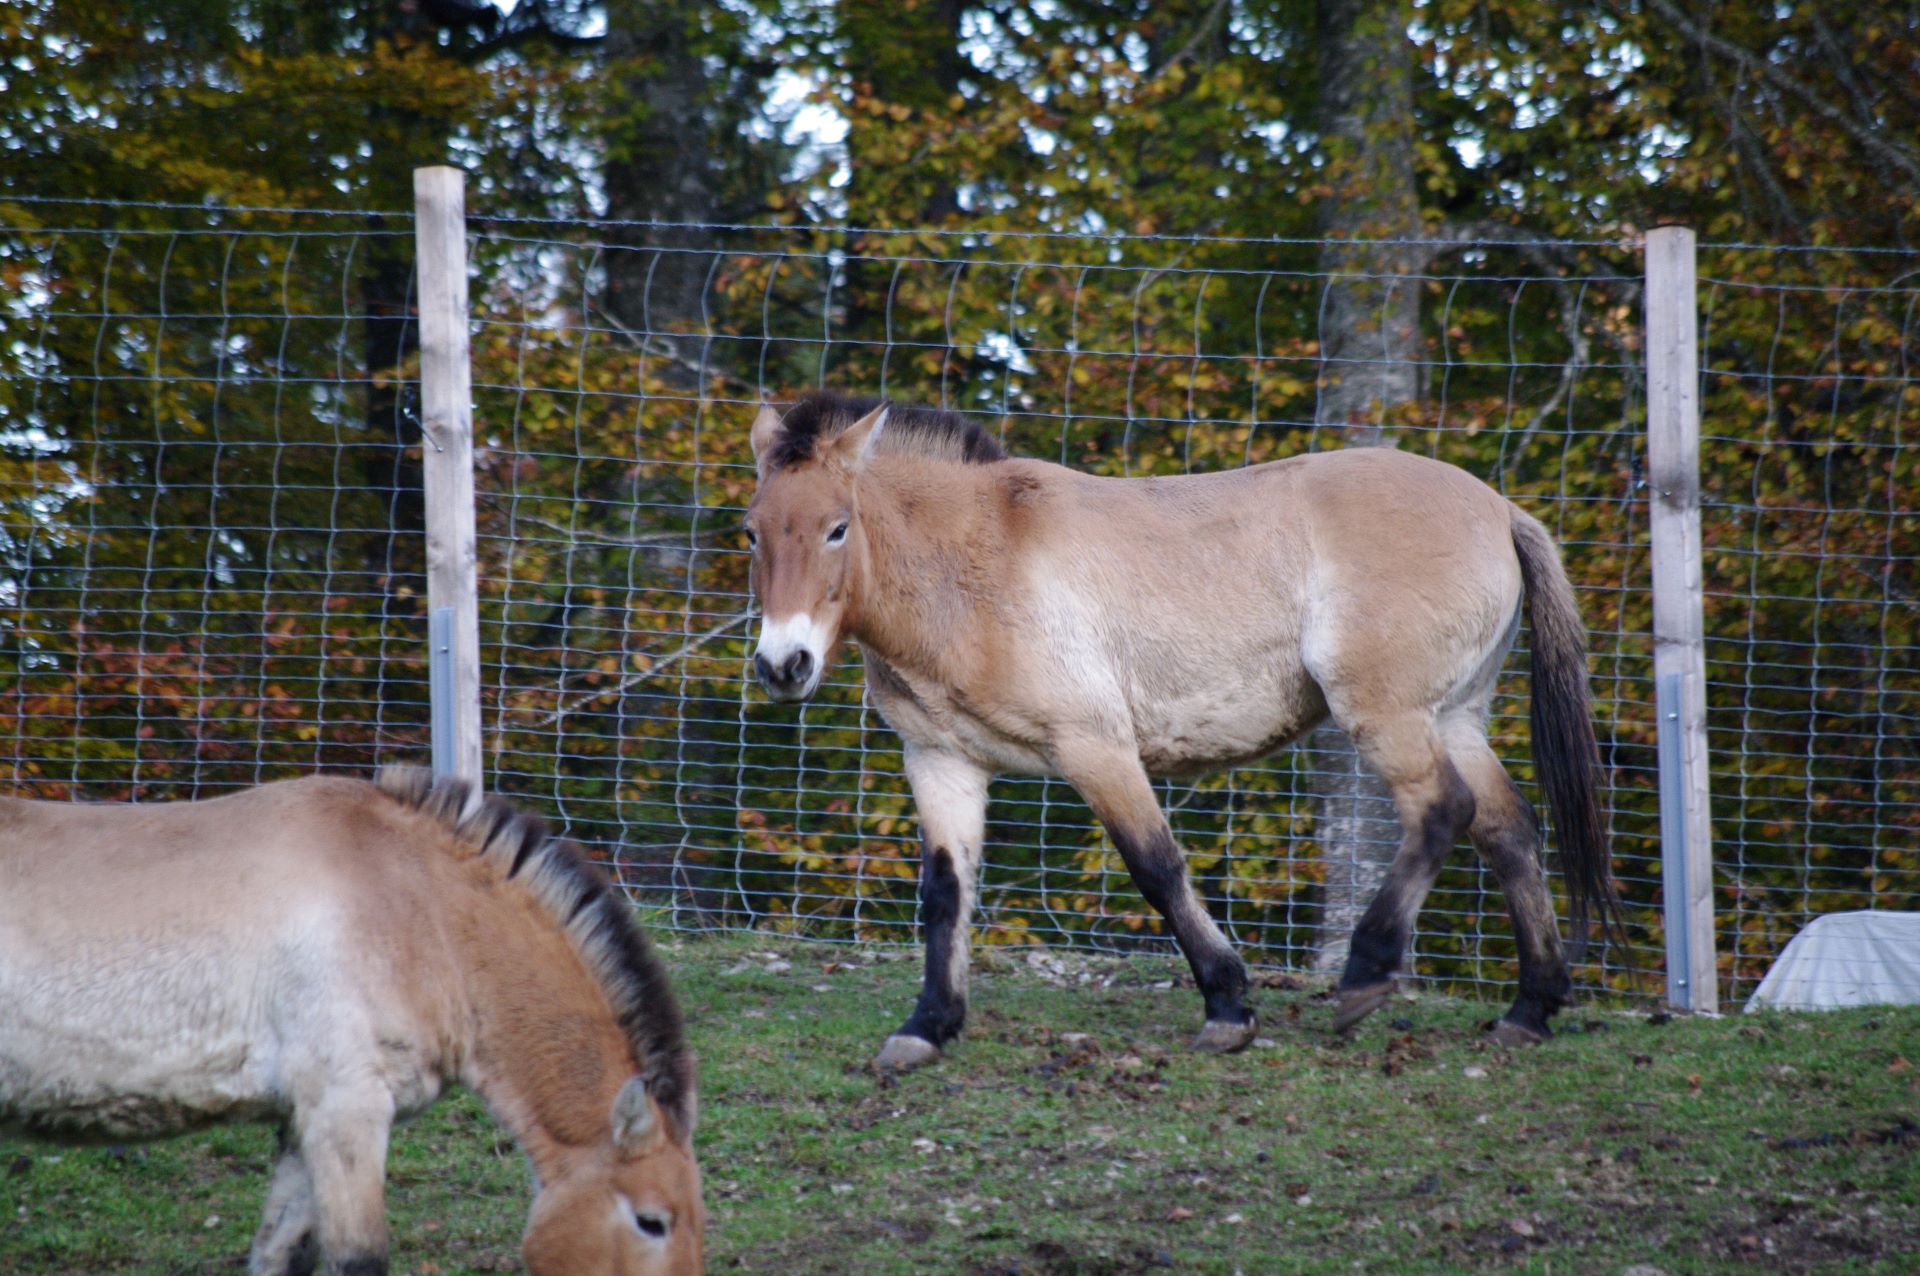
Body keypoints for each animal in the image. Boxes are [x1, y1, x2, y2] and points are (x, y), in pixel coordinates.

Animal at [741, 393, 1628, 1066]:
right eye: (751, 530)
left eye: (836, 527)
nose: (783, 664)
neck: (971, 563)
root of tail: (1500, 508)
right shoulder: (941, 761)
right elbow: (945, 895)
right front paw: (927, 1027)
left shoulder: (1094, 747)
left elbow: (1157, 868)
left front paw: (1229, 1008)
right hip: (1455, 717)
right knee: (1508, 828)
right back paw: (1530, 1009)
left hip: (1389, 714)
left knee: (1443, 811)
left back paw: (1365, 978)